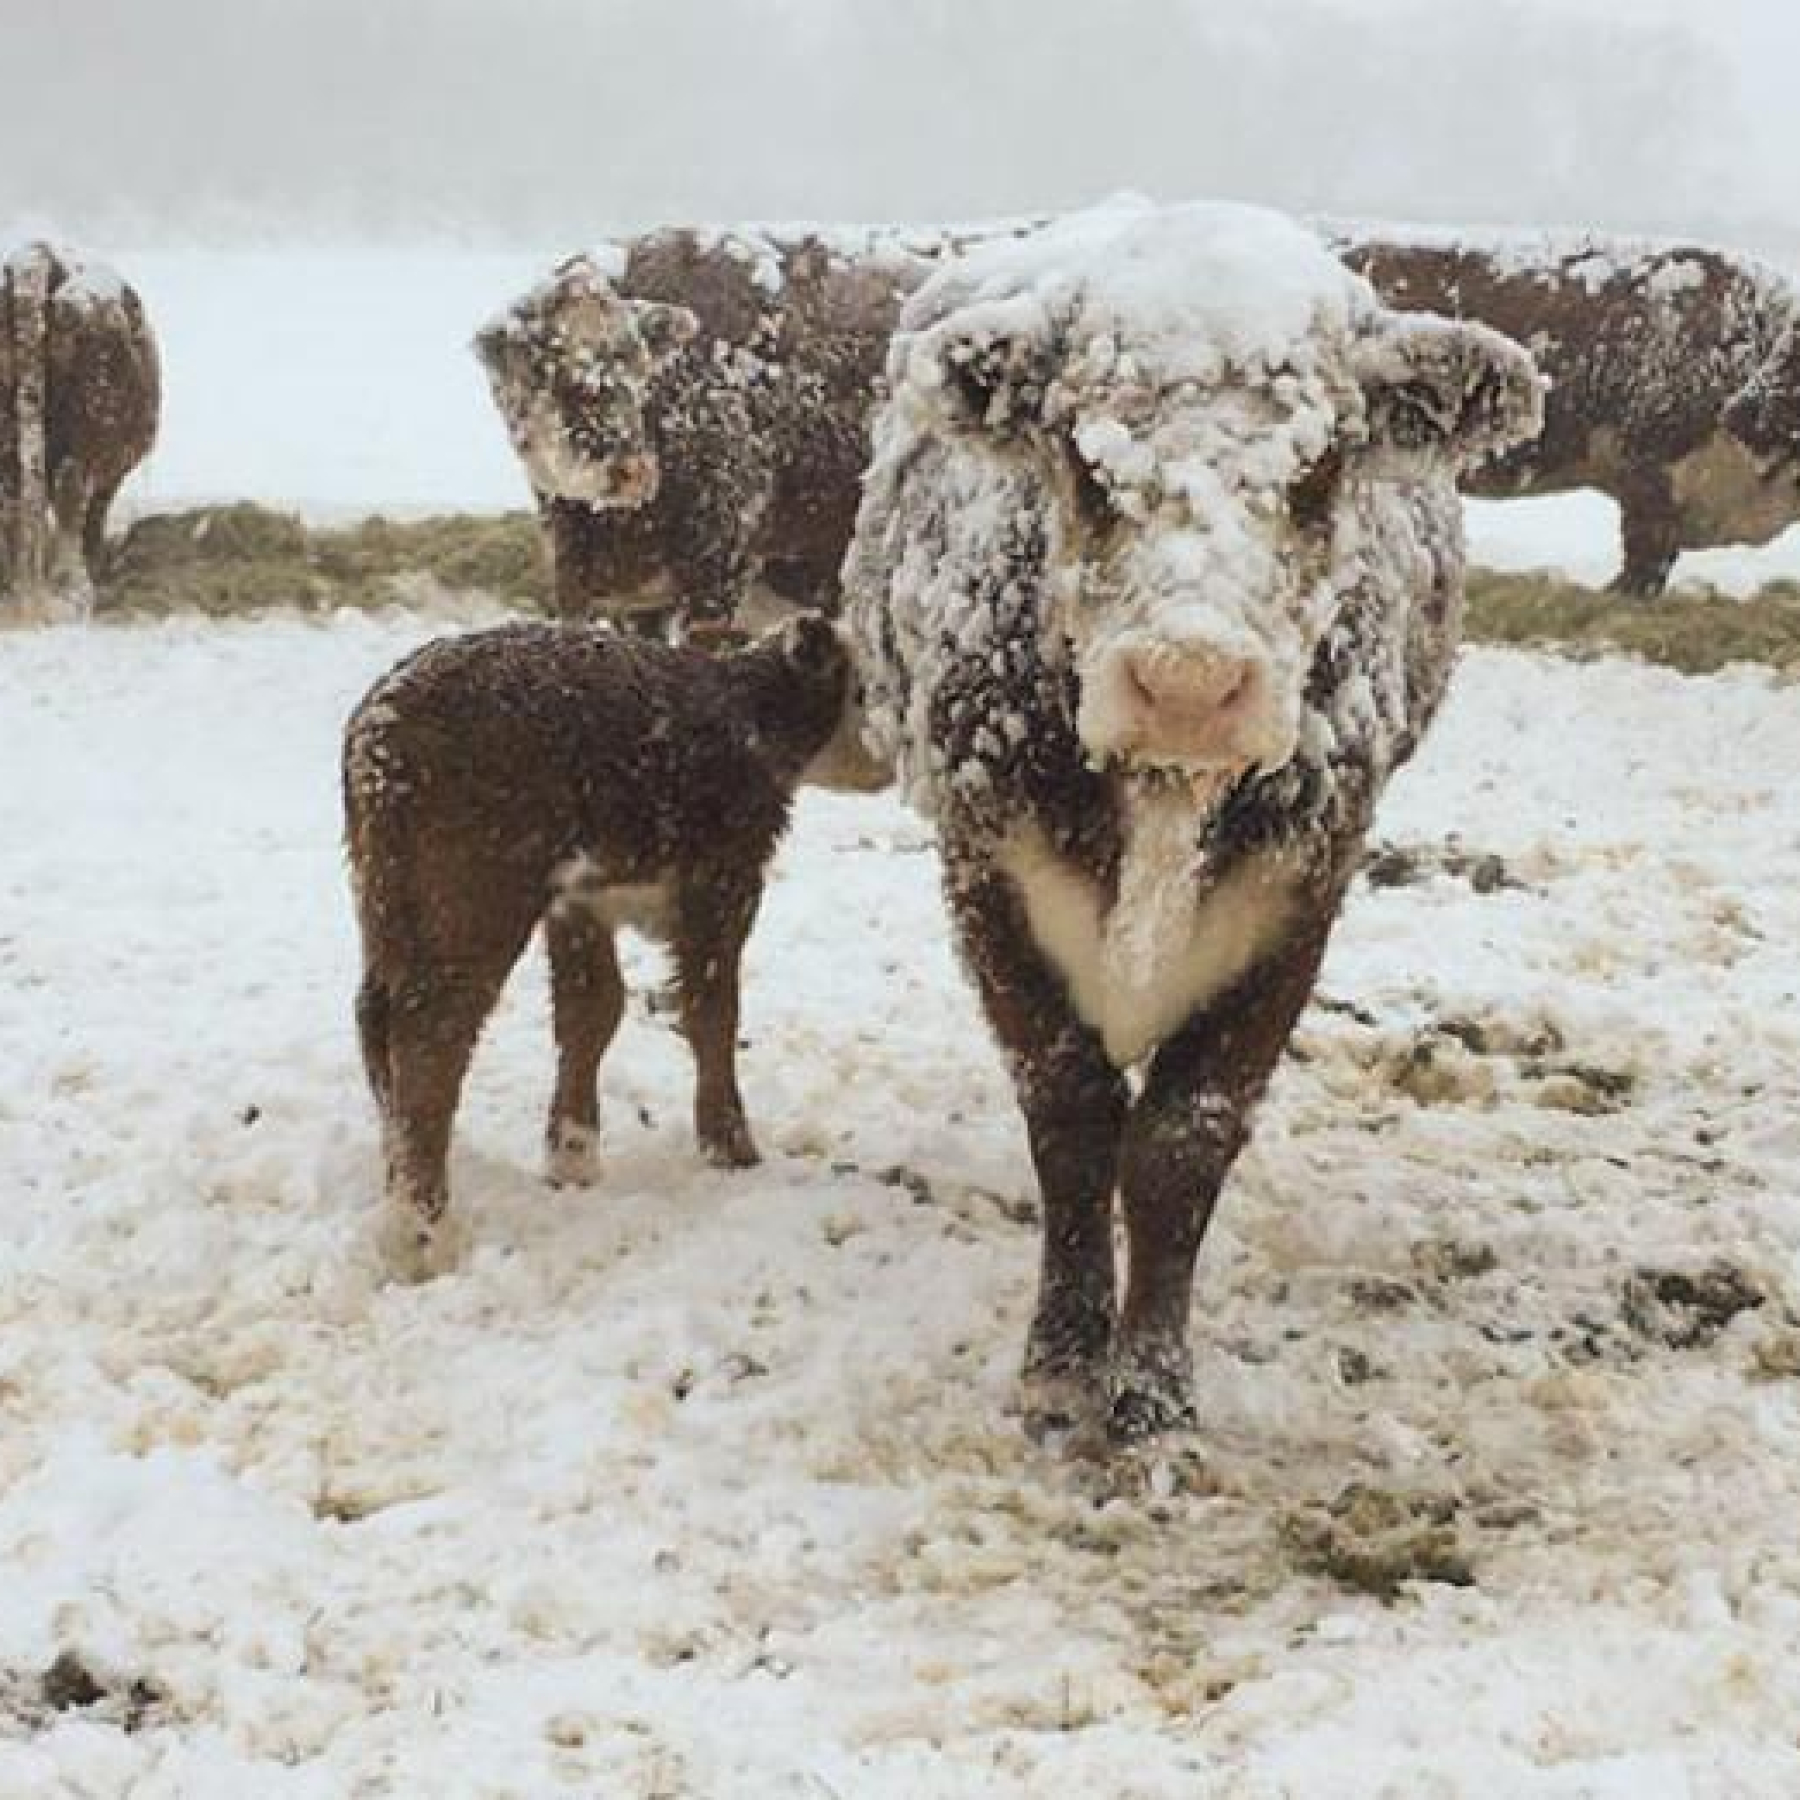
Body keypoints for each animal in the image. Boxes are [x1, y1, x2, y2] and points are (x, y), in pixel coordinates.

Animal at [0, 241, 160, 617]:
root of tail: (36, 257)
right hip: (90, 435)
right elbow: (94, 514)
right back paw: (74, 589)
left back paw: (17, 589)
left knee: (12, 498)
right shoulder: (111, 465)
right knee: (70, 493)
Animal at [845, 198, 1543, 1444]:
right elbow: (1073, 1122)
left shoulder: (1298, 898)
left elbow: (1180, 1141)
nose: (1187, 677)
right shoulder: (988, 876)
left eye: (1323, 465)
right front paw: (1060, 1367)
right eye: (1082, 457)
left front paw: (1152, 1397)